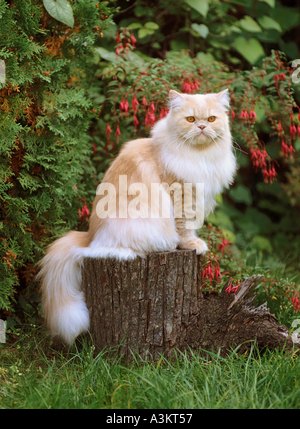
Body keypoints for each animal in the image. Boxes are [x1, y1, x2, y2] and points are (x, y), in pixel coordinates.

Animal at [37, 88, 237, 342]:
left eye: (211, 119)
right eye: (191, 119)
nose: (201, 127)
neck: (199, 157)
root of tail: (88, 236)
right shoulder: (181, 195)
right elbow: (185, 228)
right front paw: (192, 245)